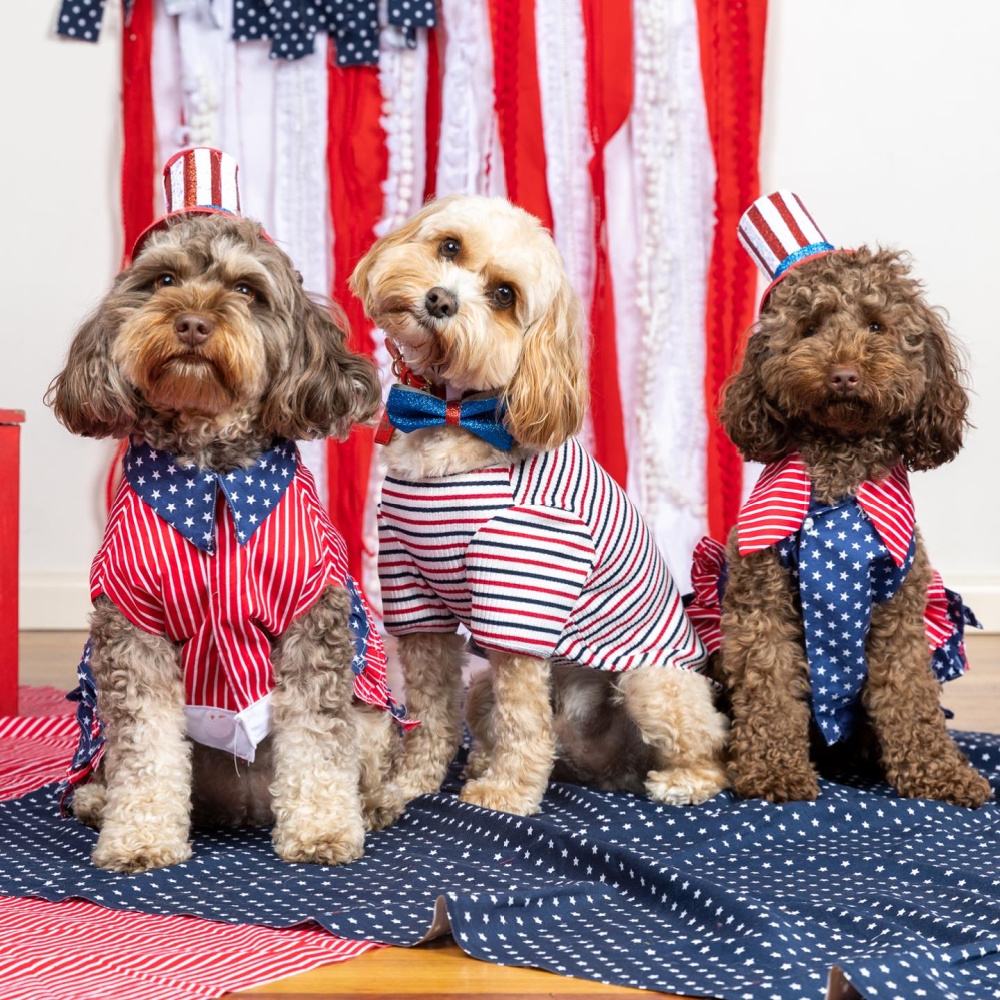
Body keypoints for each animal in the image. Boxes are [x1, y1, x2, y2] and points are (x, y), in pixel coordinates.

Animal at [720, 246, 992, 808]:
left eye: (876, 325)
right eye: (809, 328)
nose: (844, 374)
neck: (840, 476)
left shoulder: (900, 614)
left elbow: (910, 697)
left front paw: (939, 772)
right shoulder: (762, 605)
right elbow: (770, 689)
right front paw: (772, 770)